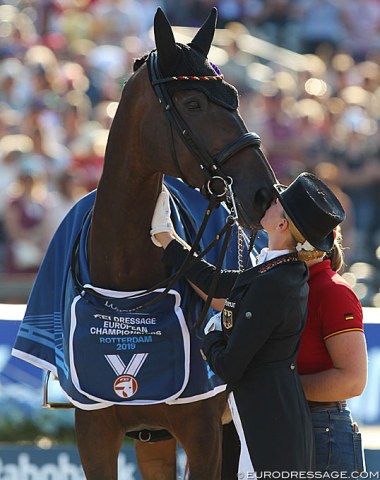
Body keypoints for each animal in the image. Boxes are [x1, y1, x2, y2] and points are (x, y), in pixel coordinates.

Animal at [70, 7, 276, 480]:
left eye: (234, 98)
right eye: (193, 103)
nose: (263, 192)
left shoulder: (203, 436)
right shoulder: (94, 435)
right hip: (154, 438)